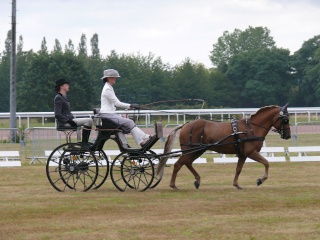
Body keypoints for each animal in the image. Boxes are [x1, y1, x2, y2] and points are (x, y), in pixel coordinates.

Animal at [156, 104, 292, 190]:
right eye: (285, 120)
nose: (288, 135)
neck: (251, 128)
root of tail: (186, 124)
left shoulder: (243, 155)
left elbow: (238, 169)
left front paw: (236, 184)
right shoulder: (251, 152)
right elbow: (266, 162)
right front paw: (260, 179)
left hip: (198, 150)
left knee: (187, 163)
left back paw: (197, 180)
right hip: (189, 150)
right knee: (178, 164)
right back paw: (173, 185)